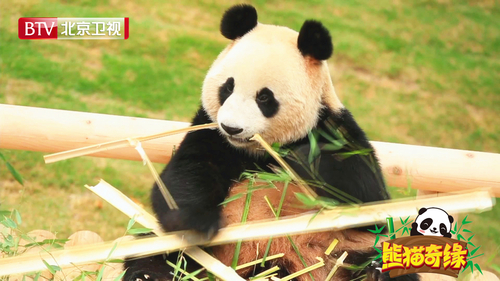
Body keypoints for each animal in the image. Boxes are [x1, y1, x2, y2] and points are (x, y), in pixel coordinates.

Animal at [124, 4, 418, 280]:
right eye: (227, 87)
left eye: (264, 97)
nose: (232, 127)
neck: (257, 151)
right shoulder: (209, 131)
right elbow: (185, 175)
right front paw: (199, 222)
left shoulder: (335, 127)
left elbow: (367, 198)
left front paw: (304, 157)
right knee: (154, 253)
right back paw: (150, 273)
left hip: (348, 248)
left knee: (384, 255)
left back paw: (377, 272)